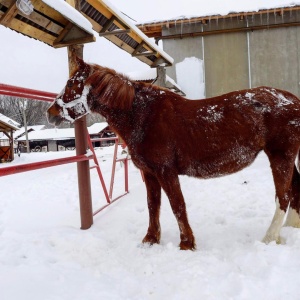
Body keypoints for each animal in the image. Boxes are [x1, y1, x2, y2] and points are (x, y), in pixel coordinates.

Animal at [47, 54, 300, 251]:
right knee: (293, 191)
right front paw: (150, 240)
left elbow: (177, 205)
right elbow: (153, 205)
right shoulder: (149, 173)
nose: (51, 112)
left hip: (280, 156)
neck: (142, 115)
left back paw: (269, 238)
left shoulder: (166, 171)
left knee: (283, 196)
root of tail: (293, 100)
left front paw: (186, 243)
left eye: (71, 84)